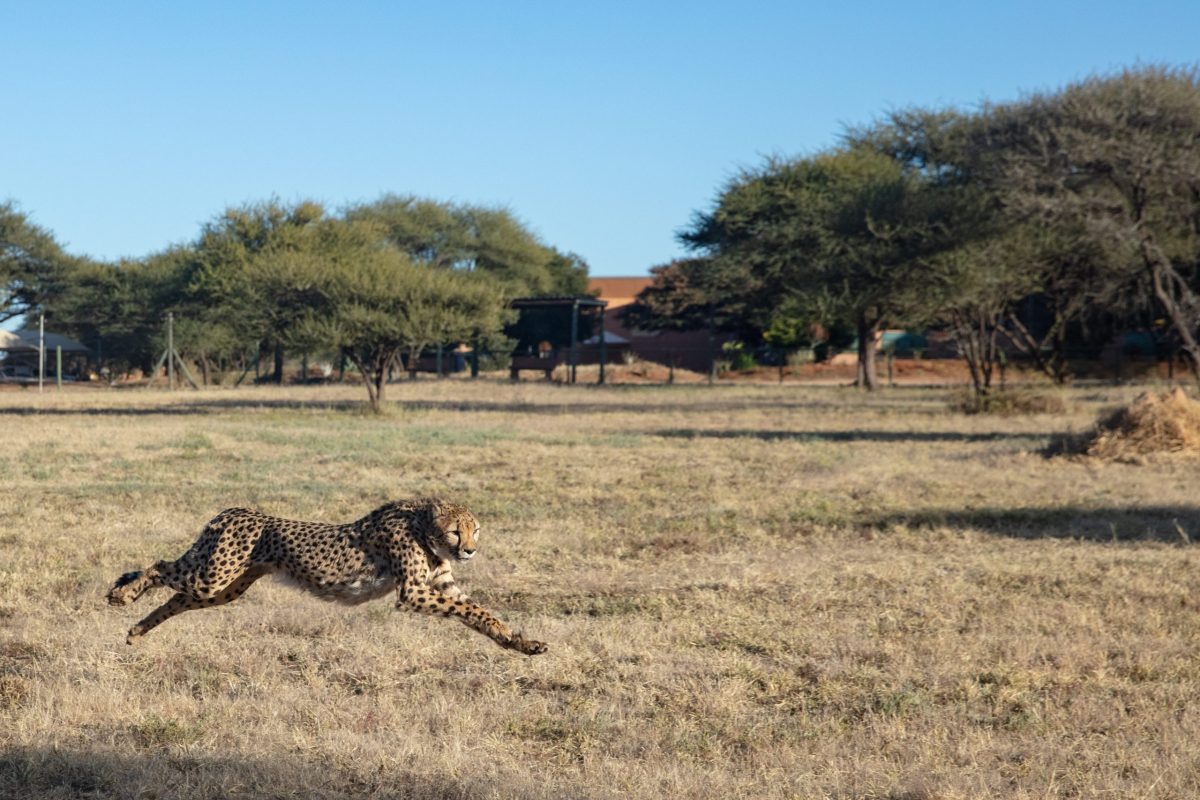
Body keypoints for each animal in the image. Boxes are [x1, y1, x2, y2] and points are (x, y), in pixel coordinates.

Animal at [105, 498, 547, 656]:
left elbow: (478, 612)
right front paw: (516, 639)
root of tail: (232, 511)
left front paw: (520, 642)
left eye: (476, 530)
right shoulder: (413, 593)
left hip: (222, 588)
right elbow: (470, 609)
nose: (469, 550)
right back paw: (123, 595)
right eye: (457, 531)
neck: (423, 526)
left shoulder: (440, 587)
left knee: (176, 598)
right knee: (160, 566)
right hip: (212, 576)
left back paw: (138, 630)